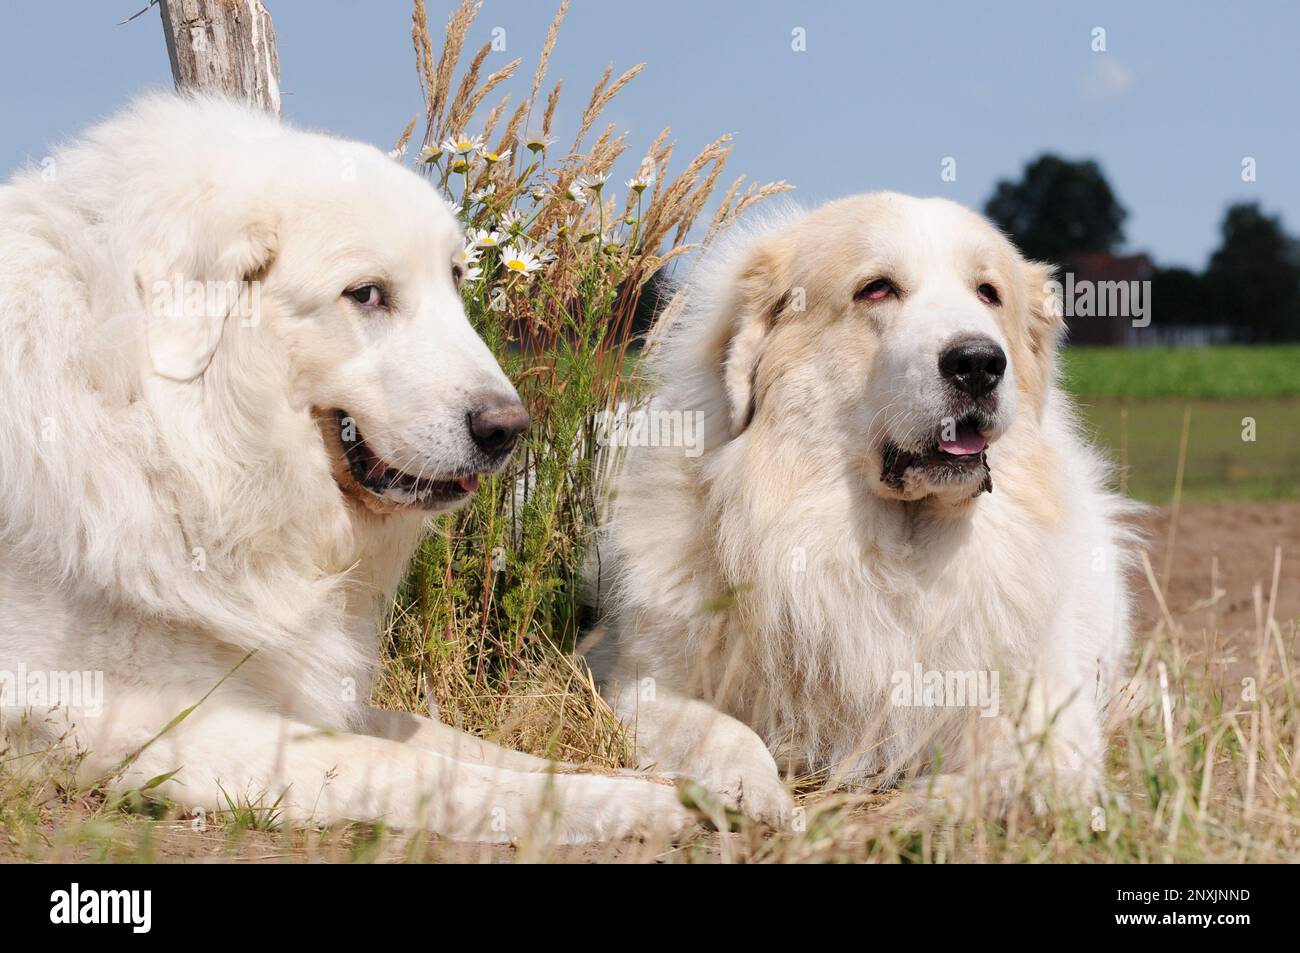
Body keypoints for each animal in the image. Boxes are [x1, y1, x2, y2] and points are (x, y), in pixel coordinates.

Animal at [0, 94, 691, 842]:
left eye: (455, 278)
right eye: (366, 294)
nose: (509, 430)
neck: (169, 432)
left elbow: (454, 740)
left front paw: (665, 783)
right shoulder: (158, 724)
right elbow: (413, 767)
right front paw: (633, 805)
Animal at [590, 195, 1138, 826]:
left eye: (988, 293)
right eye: (876, 290)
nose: (979, 362)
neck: (890, 556)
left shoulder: (1050, 707)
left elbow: (1022, 770)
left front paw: (927, 803)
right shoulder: (644, 688)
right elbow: (726, 733)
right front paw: (762, 798)